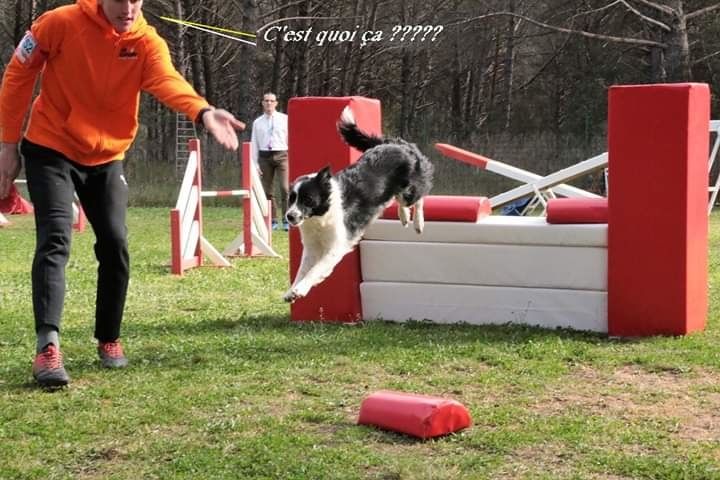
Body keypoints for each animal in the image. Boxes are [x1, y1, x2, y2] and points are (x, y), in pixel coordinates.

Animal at [284, 108, 434, 304]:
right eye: (291, 199)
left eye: (308, 199)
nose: (289, 216)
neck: (319, 218)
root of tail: (396, 143)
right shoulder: (311, 248)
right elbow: (302, 270)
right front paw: (291, 291)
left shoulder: (337, 246)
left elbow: (315, 269)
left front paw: (300, 289)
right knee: (400, 201)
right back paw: (404, 217)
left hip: (410, 189)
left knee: (419, 197)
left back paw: (418, 223)